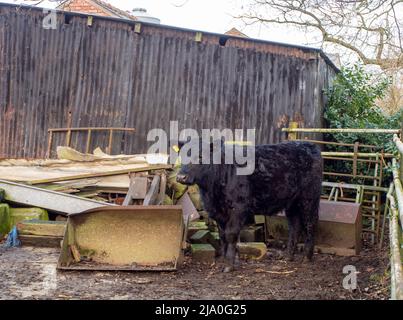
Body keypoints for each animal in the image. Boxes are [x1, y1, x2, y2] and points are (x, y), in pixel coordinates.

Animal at [177, 139, 322, 272]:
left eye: (200, 156)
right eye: (181, 155)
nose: (180, 177)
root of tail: (309, 144)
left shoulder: (238, 208)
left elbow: (231, 234)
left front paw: (229, 265)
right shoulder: (218, 212)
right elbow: (223, 236)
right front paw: (226, 261)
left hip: (309, 198)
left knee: (310, 224)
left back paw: (306, 258)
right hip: (292, 203)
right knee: (294, 227)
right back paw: (288, 257)